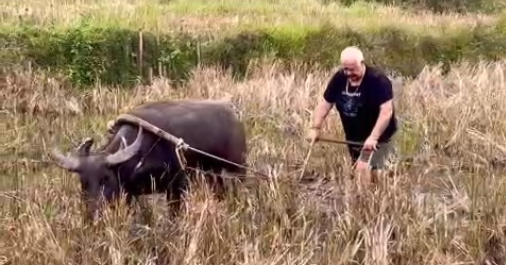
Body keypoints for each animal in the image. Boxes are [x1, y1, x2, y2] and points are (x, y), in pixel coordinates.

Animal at [50, 98, 248, 221]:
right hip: (214, 173)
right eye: (83, 182)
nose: (93, 215)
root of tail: (234, 114)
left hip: (238, 168)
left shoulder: (177, 186)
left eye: (105, 179)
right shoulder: (128, 193)